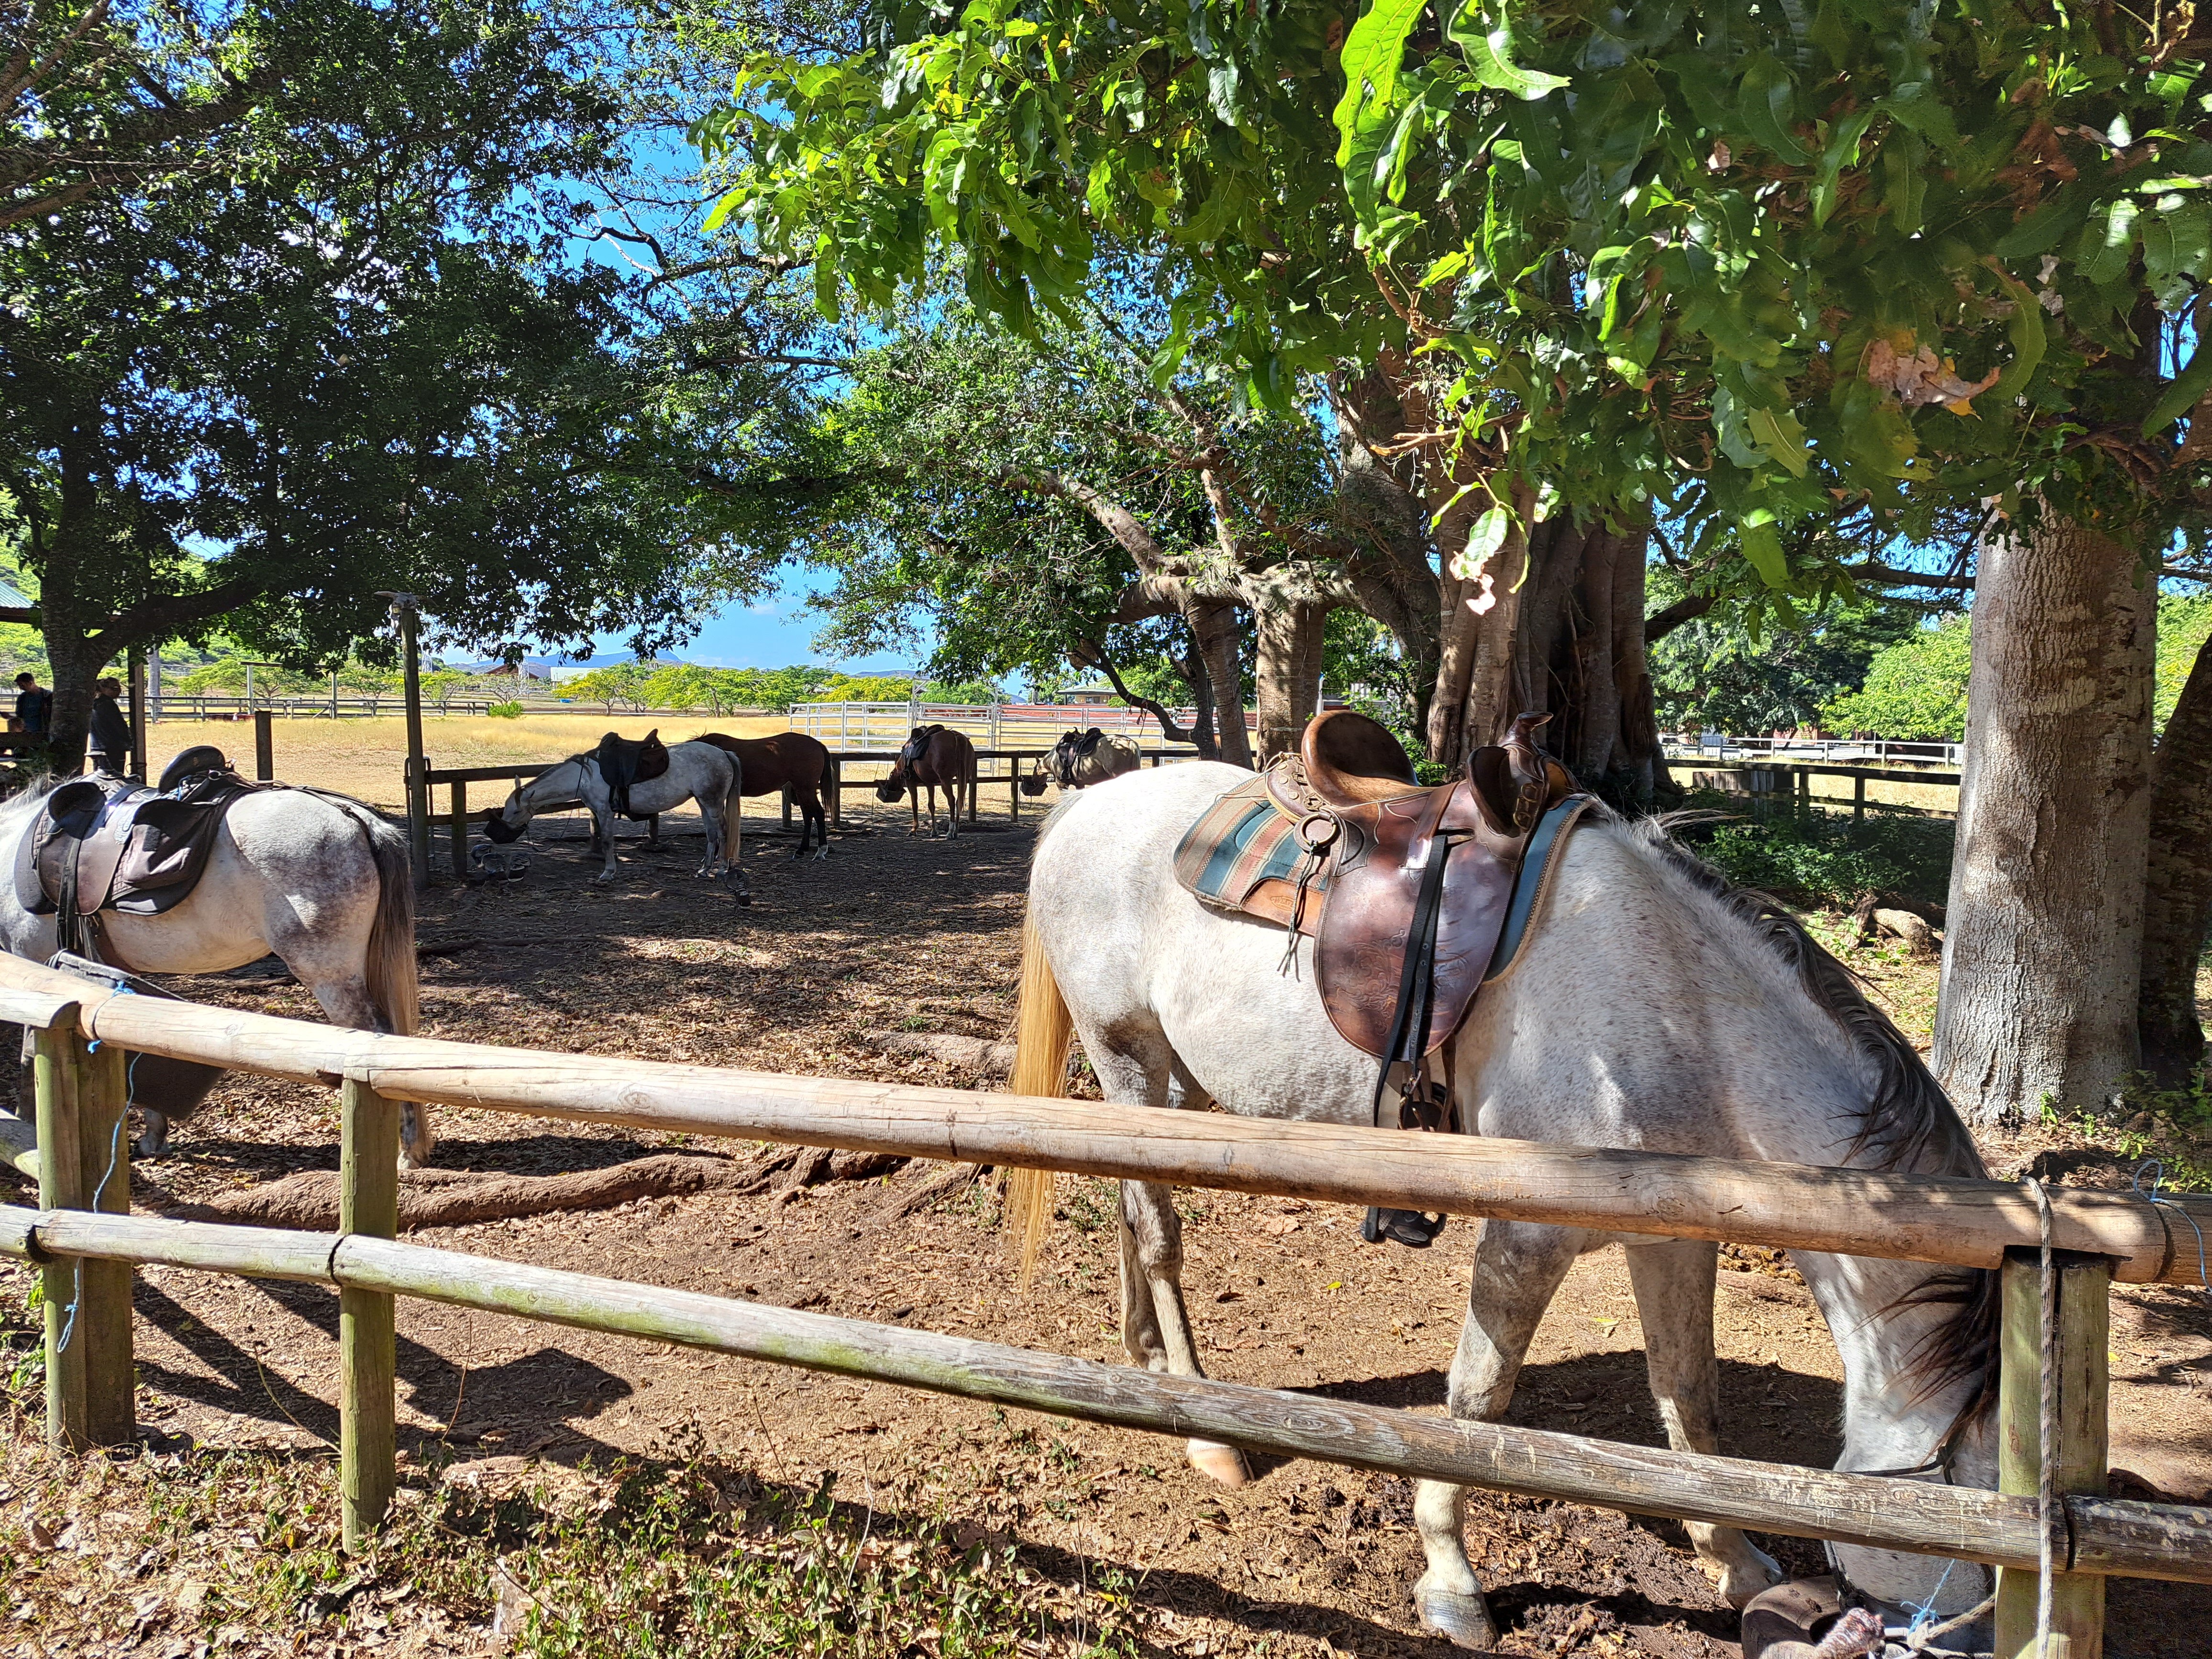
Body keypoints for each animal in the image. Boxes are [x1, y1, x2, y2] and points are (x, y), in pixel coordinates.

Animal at [694, 734, 831, 863]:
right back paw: (801, 850)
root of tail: (816, 744)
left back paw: (820, 851)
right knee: (808, 816)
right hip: (802, 791)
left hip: (805, 790)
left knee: (818, 814)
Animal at [876, 721, 973, 836]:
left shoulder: (911, 783)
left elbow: (915, 805)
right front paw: (934, 831)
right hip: (963, 779)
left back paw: (950, 831)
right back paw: (956, 830)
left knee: (952, 800)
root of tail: (956, 737)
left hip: (946, 780)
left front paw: (914, 829)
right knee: (959, 801)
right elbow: (931, 805)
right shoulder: (929, 784)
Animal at [1022, 725, 1150, 800]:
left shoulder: (1062, 784)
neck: (1054, 758)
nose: (1032, 782)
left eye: (1034, 770)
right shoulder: (1080, 784)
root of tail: (1131, 744)